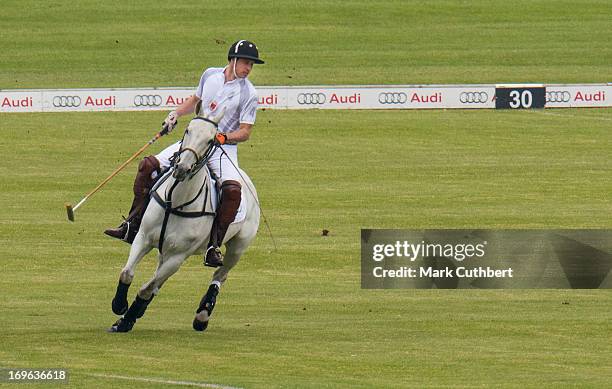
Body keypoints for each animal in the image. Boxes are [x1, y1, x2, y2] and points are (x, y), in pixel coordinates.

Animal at [109, 110, 260, 332]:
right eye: (187, 130)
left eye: (211, 140)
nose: (181, 167)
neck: (176, 201)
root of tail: (247, 181)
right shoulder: (143, 238)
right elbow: (127, 273)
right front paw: (120, 306)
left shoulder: (179, 256)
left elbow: (146, 288)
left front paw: (126, 320)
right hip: (164, 249)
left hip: (238, 246)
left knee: (220, 275)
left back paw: (202, 315)